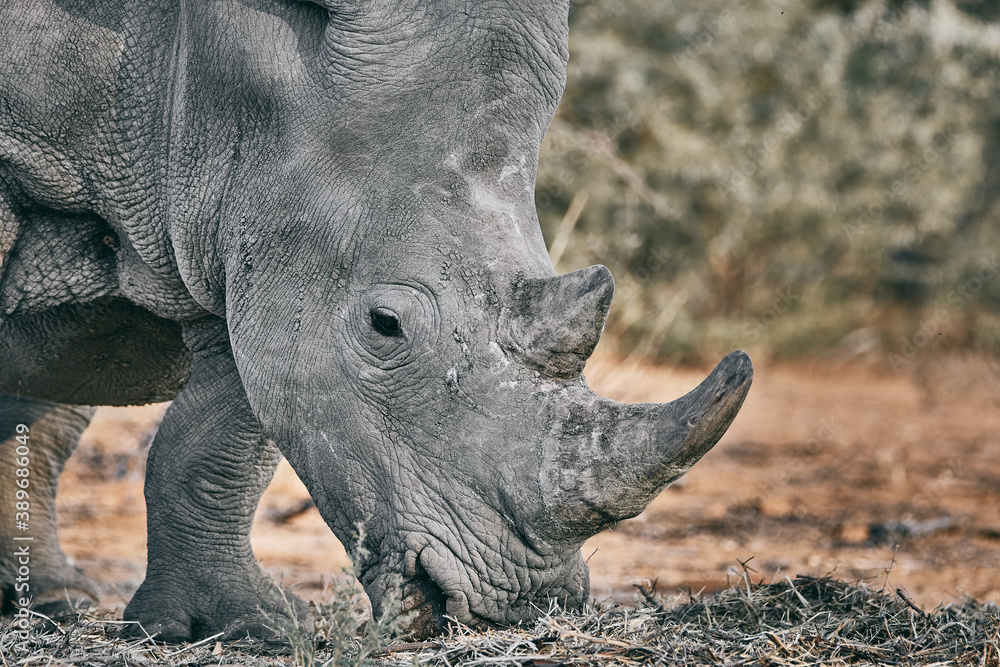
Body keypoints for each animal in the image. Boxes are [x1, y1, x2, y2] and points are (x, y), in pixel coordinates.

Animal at [0, 0, 752, 641]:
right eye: (384, 323)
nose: (522, 602)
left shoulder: (240, 230)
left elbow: (220, 441)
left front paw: (245, 628)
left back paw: (57, 601)